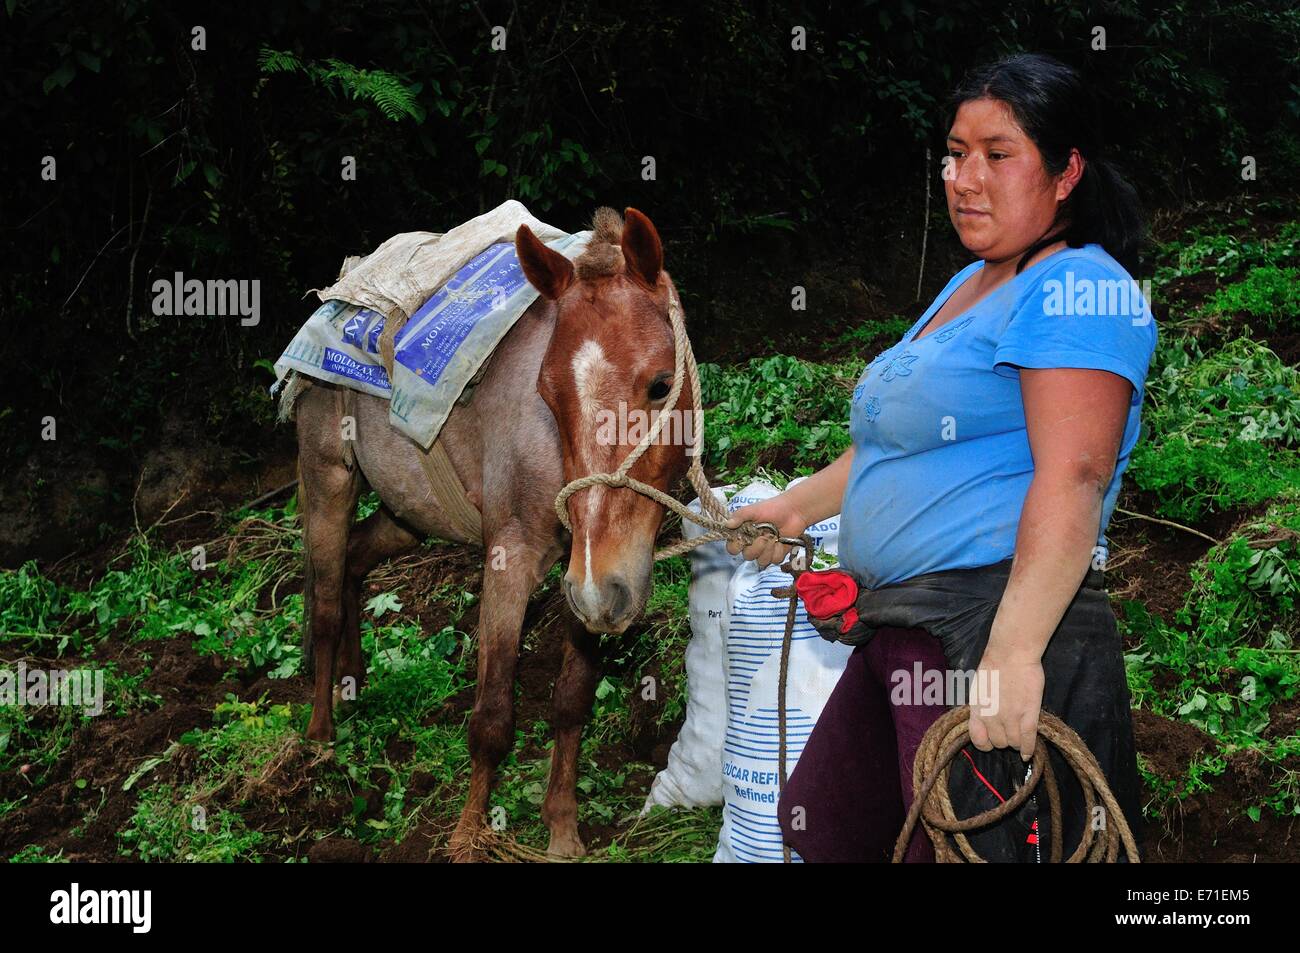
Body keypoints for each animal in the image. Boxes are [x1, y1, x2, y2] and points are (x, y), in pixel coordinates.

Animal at [289, 204, 696, 858]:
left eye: (662, 385)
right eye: (548, 395)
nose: (602, 591)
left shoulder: (589, 576)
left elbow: (571, 701)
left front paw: (561, 827)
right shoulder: (516, 560)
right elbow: (491, 719)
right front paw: (467, 836)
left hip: (408, 513)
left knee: (354, 562)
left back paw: (354, 682)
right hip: (327, 478)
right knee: (324, 603)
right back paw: (322, 738)